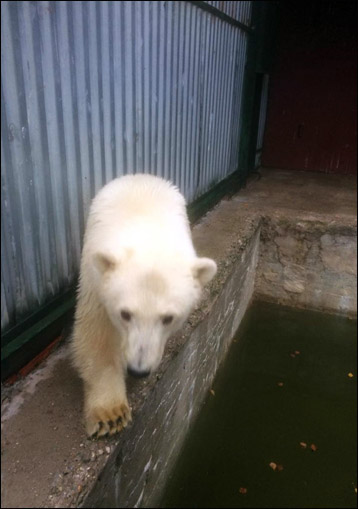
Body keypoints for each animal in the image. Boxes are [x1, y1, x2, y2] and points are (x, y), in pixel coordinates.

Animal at [71, 175, 217, 436]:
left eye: (168, 318)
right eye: (125, 314)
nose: (138, 370)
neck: (148, 233)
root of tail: (141, 176)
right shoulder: (95, 278)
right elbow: (97, 333)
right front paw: (110, 415)